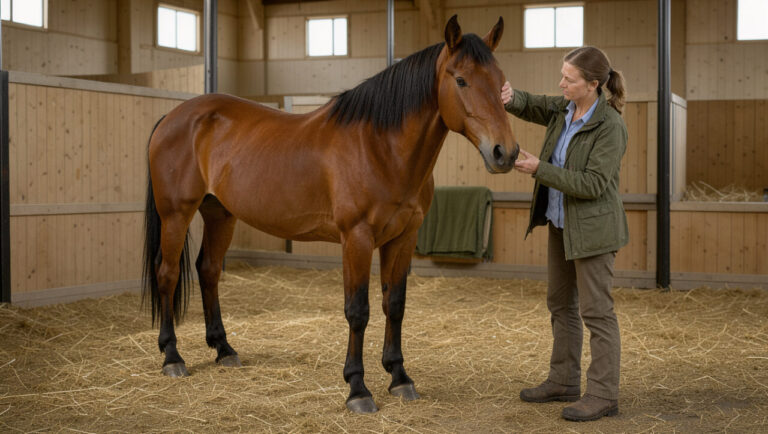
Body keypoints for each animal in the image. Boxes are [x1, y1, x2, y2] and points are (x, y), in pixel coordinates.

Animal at [142, 15, 519, 414]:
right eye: (460, 79)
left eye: (501, 81)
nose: (505, 152)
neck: (380, 147)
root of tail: (173, 116)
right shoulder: (356, 238)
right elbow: (358, 310)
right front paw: (358, 388)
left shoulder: (403, 237)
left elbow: (394, 305)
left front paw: (399, 377)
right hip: (176, 215)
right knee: (167, 274)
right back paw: (172, 356)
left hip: (220, 215)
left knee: (209, 270)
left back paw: (224, 349)